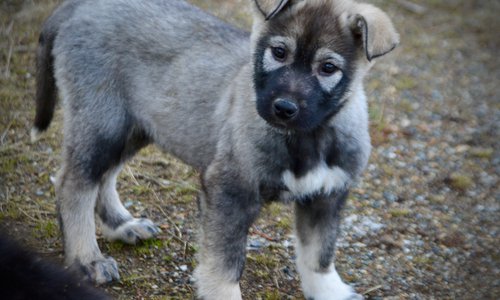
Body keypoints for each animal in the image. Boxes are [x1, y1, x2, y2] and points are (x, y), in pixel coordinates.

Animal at [33, 0, 398, 298]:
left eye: (328, 68)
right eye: (279, 53)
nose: (283, 108)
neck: (308, 138)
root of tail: (80, 5)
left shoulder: (327, 196)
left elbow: (319, 254)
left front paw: (328, 291)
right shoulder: (230, 191)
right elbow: (225, 264)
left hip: (133, 125)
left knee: (104, 177)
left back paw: (122, 225)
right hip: (103, 120)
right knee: (74, 183)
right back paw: (87, 259)